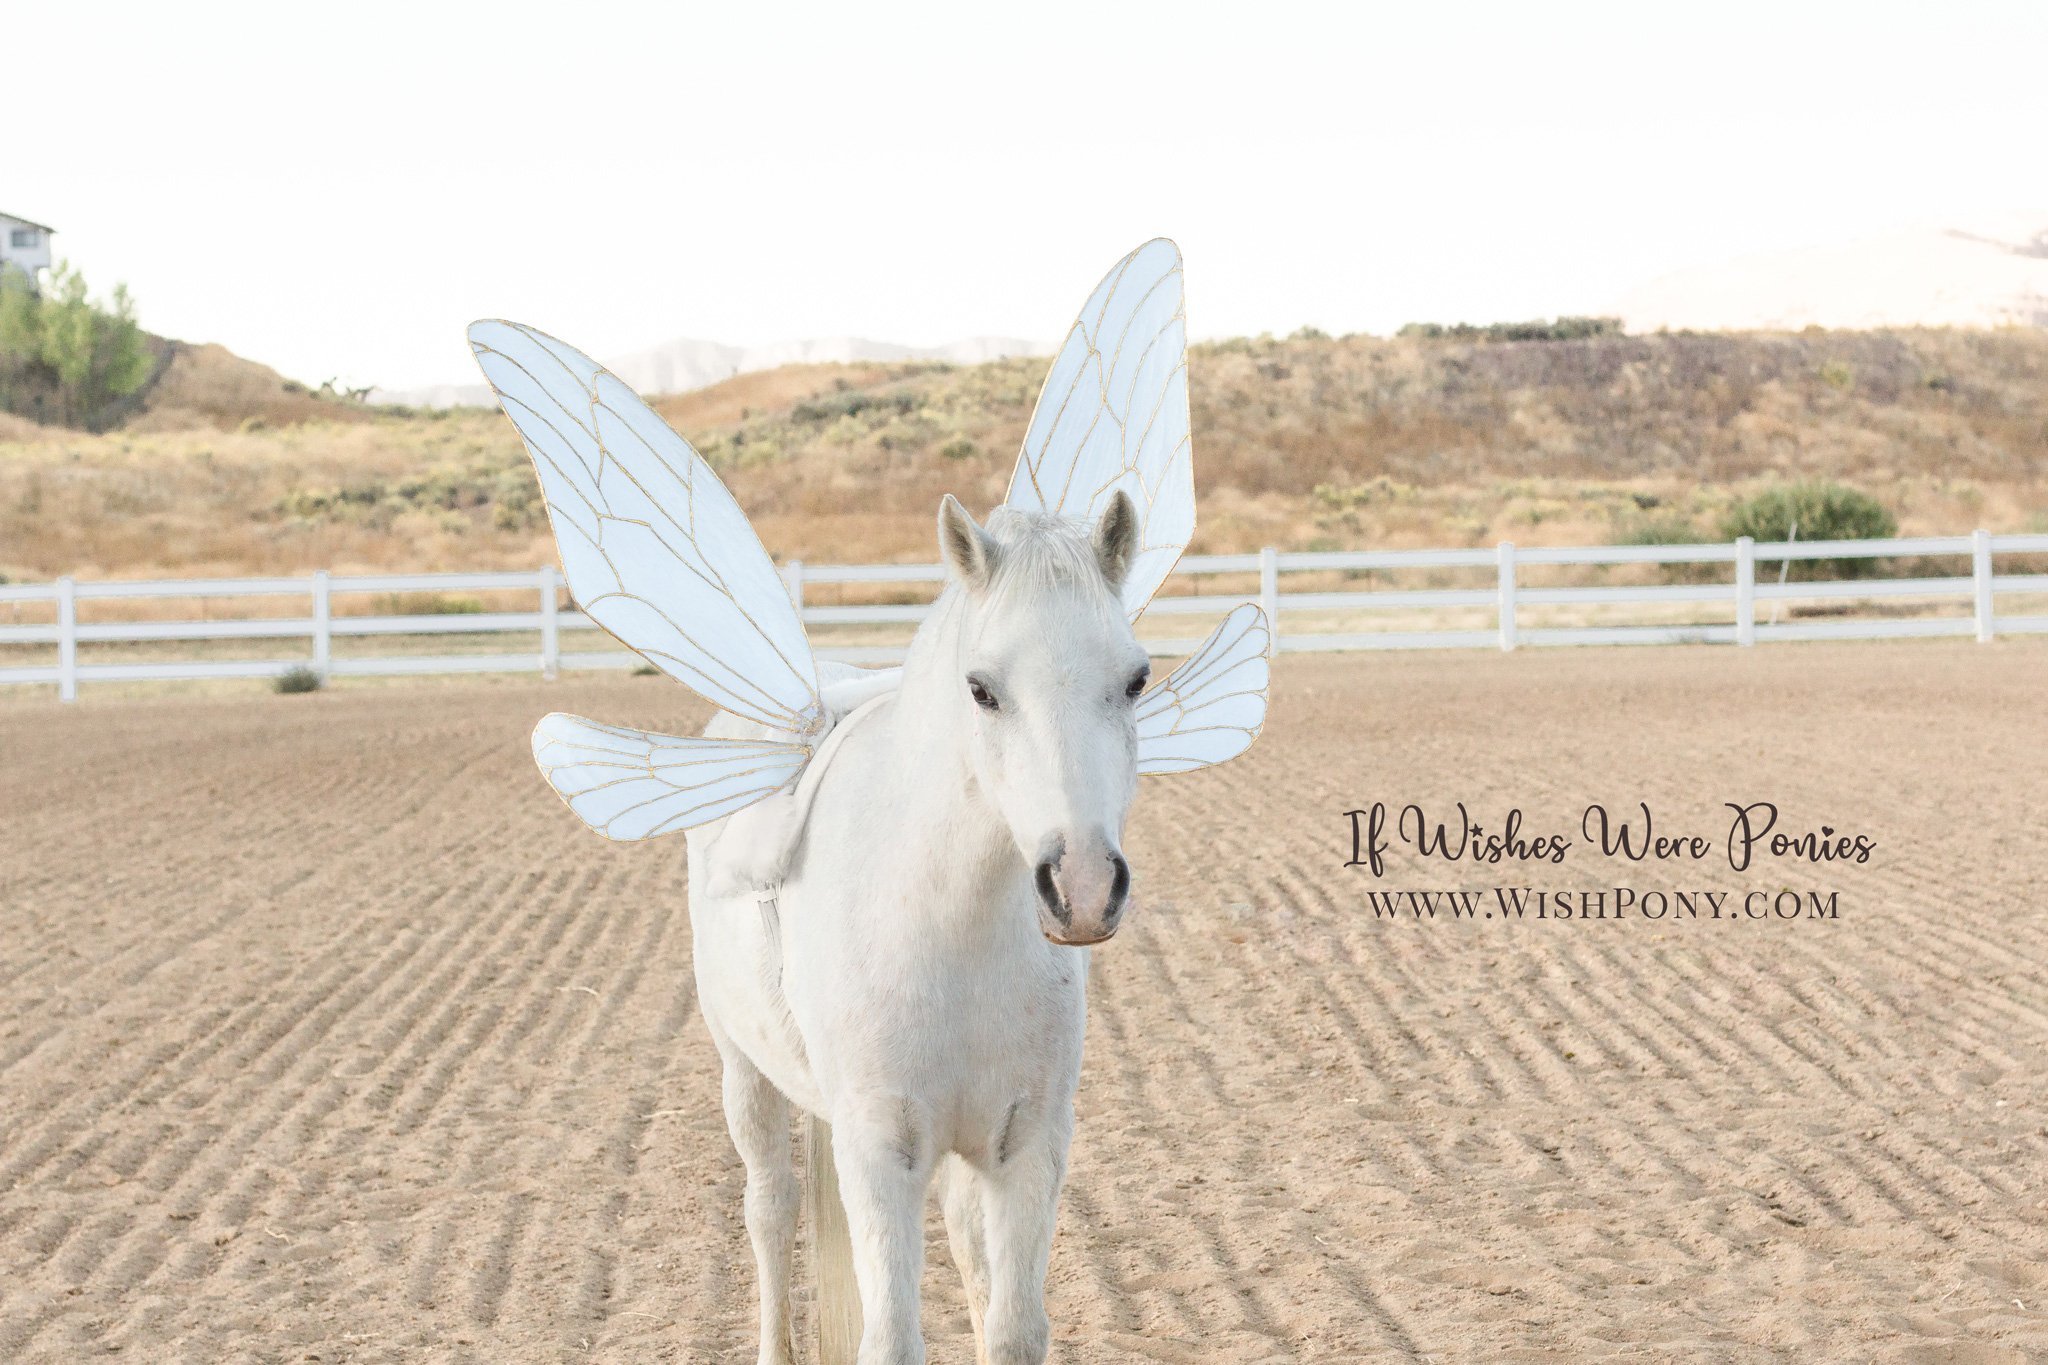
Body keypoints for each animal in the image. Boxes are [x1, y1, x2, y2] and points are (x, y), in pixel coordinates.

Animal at [684, 491, 1149, 1365]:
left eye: (1136, 678)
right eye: (982, 688)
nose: (1082, 886)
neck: (948, 931)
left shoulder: (1027, 1144)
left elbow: (1013, 1328)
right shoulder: (879, 1154)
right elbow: (893, 1337)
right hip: (745, 1075)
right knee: (770, 1210)